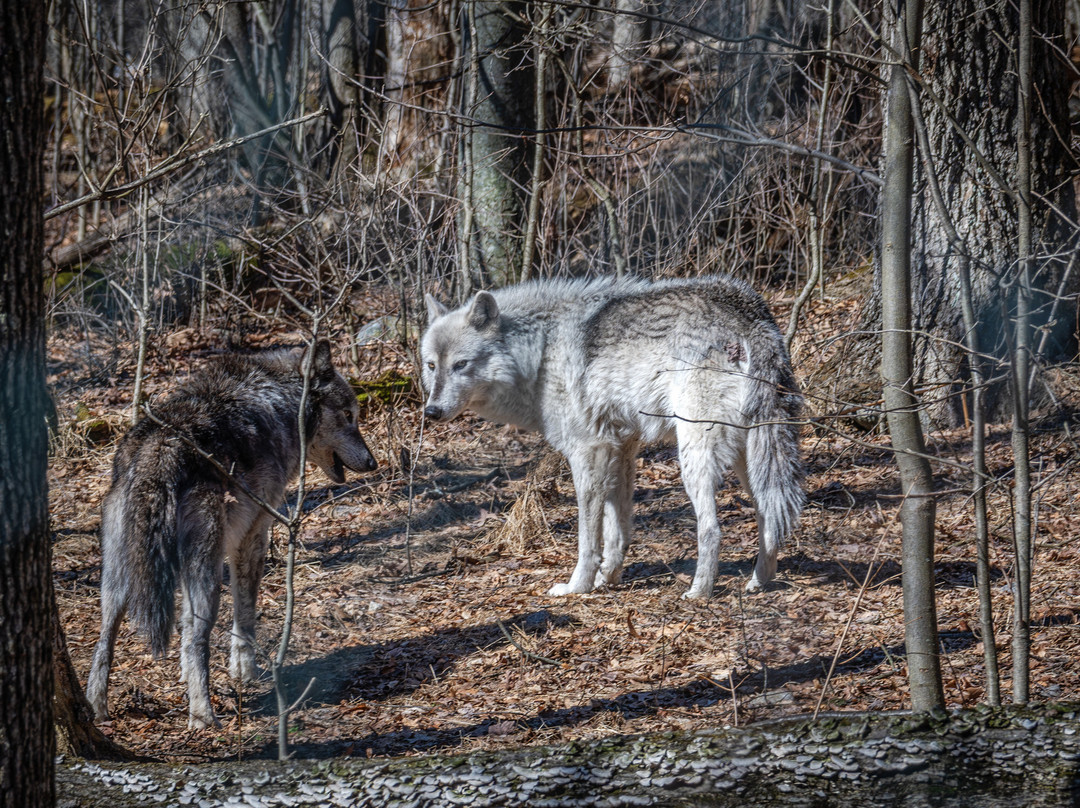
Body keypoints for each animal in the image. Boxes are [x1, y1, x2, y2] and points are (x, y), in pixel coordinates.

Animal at [86, 340, 377, 729]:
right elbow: (245, 613)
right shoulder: (252, 537)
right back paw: (203, 716)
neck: (282, 402)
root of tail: (160, 447)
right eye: (348, 415)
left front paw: (186, 675)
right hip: (208, 574)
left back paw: (96, 707)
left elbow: (182, 628)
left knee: (105, 636)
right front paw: (244, 671)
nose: (373, 463)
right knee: (196, 636)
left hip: (117, 578)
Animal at [421, 275, 803, 599]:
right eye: (431, 366)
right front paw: (608, 579)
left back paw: (699, 592)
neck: (540, 350)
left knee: (711, 528)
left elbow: (588, 537)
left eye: (461, 364)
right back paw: (758, 582)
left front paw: (578, 586)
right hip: (751, 461)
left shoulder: (588, 451)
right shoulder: (620, 448)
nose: (431, 411)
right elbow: (617, 528)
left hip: (694, 457)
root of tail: (747, 311)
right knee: (770, 518)